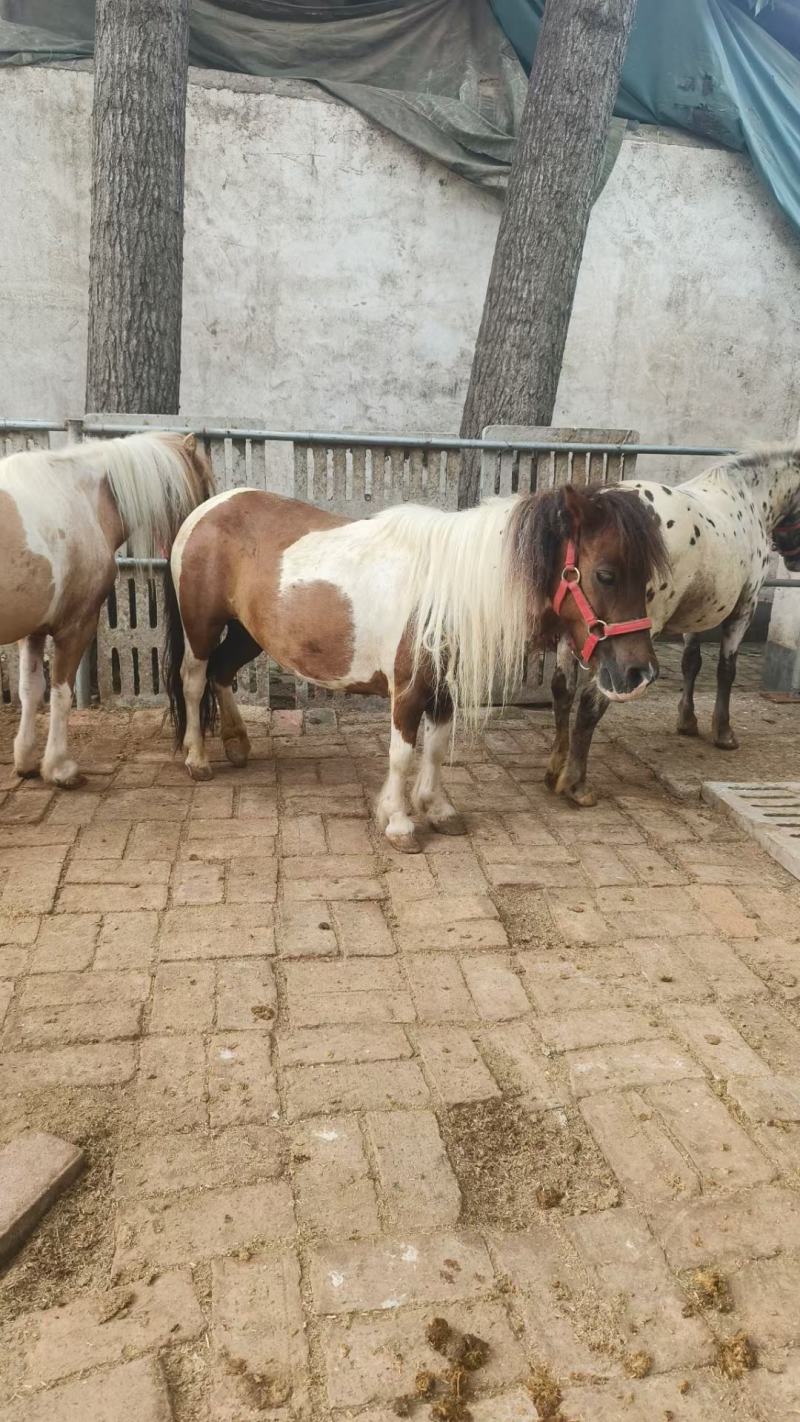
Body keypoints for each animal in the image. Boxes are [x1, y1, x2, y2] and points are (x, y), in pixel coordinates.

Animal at [0, 432, 213, 787]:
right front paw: (60, 769)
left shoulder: (34, 630)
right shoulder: (75, 626)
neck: (80, 498)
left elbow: (32, 690)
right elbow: (61, 693)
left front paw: (27, 761)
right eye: (203, 485)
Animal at [163, 481, 668, 852]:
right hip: (201, 628)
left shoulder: (442, 690)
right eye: (605, 574)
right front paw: (399, 822)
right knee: (194, 681)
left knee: (223, 675)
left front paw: (437, 809)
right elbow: (402, 755)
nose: (639, 674)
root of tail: (206, 509)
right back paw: (197, 758)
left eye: (646, 580)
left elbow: (436, 749)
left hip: (248, 633)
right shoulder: (406, 693)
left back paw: (236, 743)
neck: (445, 591)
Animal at [546, 443, 800, 807]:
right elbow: (726, 670)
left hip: (578, 626)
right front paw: (723, 732)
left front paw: (687, 720)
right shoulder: (744, 608)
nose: (794, 560)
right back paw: (576, 783)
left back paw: (556, 767)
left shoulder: (699, 613)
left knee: (562, 689)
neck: (748, 497)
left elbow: (691, 663)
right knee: (593, 699)